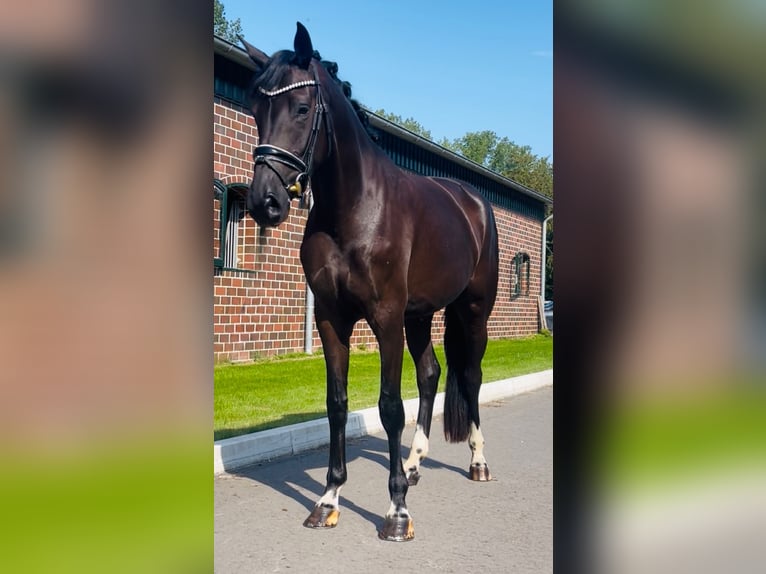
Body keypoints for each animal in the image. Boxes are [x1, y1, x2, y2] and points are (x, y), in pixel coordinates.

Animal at [240, 22, 499, 541]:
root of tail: (474, 203)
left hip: (473, 312)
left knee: (471, 376)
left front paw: (396, 511)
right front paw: (327, 499)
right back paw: (414, 465)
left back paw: (478, 462)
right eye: (256, 108)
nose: (265, 202)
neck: (356, 210)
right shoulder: (331, 319)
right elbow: (337, 404)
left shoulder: (385, 319)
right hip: (420, 316)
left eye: (302, 108)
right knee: (431, 374)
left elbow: (389, 406)